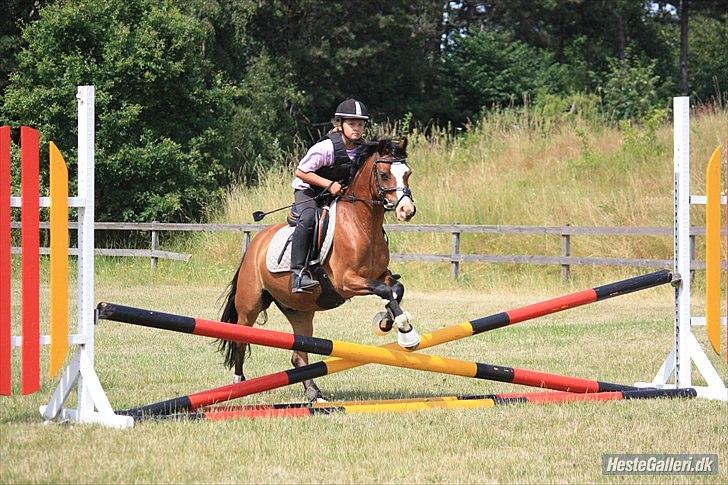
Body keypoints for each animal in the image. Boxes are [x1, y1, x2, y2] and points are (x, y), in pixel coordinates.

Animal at [218, 138, 417, 401]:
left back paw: (314, 393)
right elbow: (385, 291)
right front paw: (406, 329)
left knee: (299, 354)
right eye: (384, 174)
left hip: (299, 310)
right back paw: (238, 383)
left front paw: (387, 321)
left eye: (407, 173)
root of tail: (255, 244)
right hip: (250, 304)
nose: (407, 210)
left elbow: (396, 288)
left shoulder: (378, 275)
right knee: (240, 340)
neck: (361, 224)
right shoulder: (347, 282)